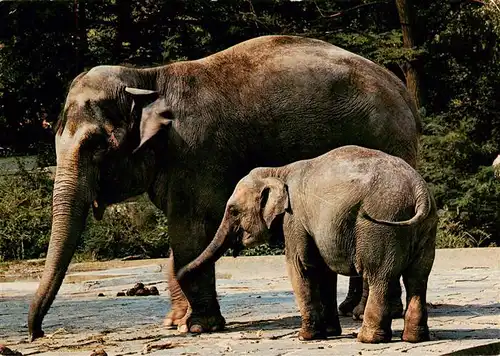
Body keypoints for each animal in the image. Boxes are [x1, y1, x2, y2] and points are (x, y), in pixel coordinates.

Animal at [178, 146, 436, 344]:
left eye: (233, 211)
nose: (180, 324)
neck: (278, 170)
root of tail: (419, 189)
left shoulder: (294, 219)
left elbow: (301, 265)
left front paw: (306, 337)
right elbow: (324, 271)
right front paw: (330, 332)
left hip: (381, 225)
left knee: (378, 277)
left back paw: (367, 339)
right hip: (424, 229)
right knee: (417, 278)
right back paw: (413, 338)